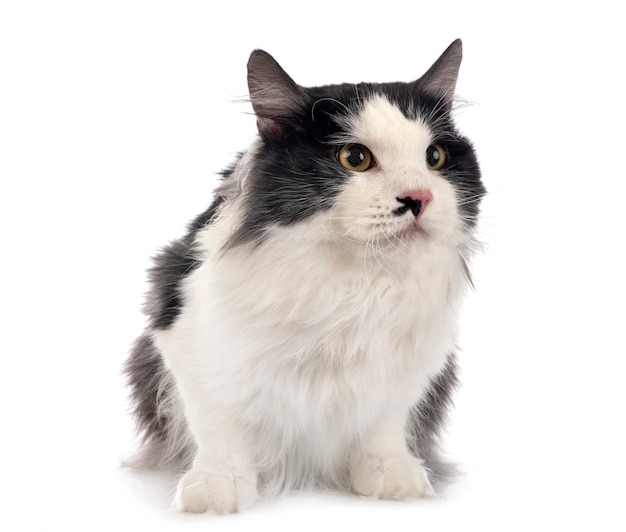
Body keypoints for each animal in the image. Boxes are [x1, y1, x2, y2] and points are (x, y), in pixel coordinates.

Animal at [123, 40, 482, 516]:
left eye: (434, 157)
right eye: (355, 159)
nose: (419, 198)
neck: (354, 283)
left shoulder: (413, 360)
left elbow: (385, 424)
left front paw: (391, 477)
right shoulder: (184, 331)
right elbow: (219, 423)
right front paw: (218, 487)